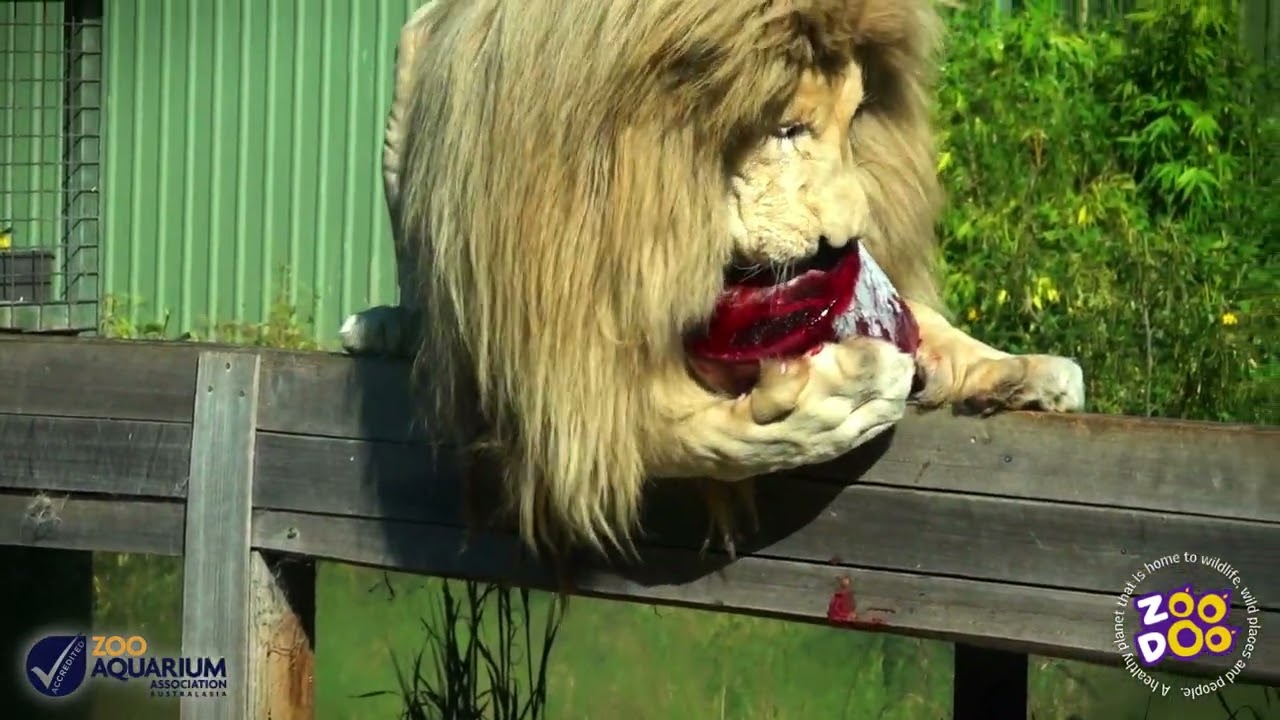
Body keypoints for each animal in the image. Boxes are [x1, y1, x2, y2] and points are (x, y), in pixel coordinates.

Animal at [340, 0, 1085, 560]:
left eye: (853, 121)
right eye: (786, 129)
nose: (849, 239)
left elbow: (922, 320)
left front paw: (1016, 370)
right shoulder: (545, 368)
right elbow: (703, 434)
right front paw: (836, 403)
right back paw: (384, 326)